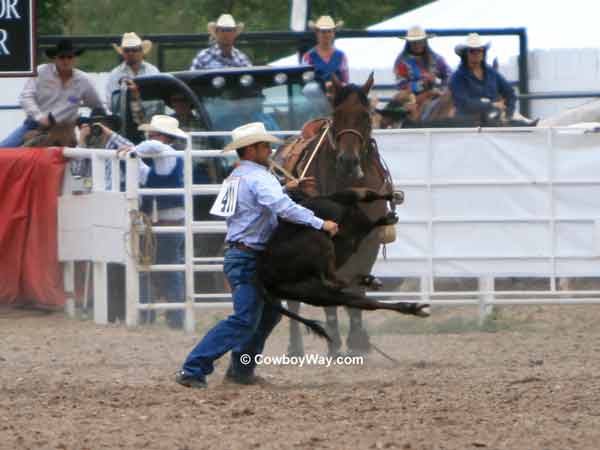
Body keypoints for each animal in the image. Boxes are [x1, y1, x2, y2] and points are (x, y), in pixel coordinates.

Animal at [274, 74, 428, 356]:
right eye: (336, 115)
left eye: (366, 116)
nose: (348, 161)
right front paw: (335, 343)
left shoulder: (370, 241)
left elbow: (357, 287)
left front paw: (357, 340)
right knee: (294, 299)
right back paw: (296, 346)